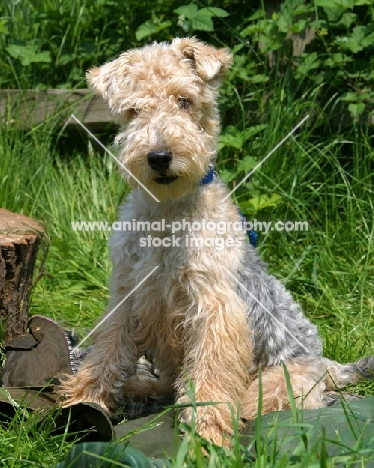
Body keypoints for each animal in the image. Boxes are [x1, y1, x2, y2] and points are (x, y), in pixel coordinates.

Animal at [59, 37, 374, 446]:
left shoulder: (215, 308)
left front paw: (206, 432)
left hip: (279, 382)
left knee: (256, 400)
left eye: (184, 100)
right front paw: (81, 400)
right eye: (132, 110)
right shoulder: (128, 298)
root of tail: (328, 364)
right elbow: (106, 355)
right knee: (164, 385)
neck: (167, 212)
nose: (159, 156)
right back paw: (137, 391)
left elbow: (211, 376)